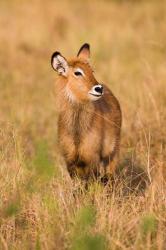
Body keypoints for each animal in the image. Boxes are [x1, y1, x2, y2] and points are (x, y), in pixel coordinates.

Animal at [51, 44, 121, 183]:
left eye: (91, 71)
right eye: (77, 72)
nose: (99, 89)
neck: (77, 132)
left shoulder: (92, 159)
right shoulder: (70, 161)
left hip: (112, 153)